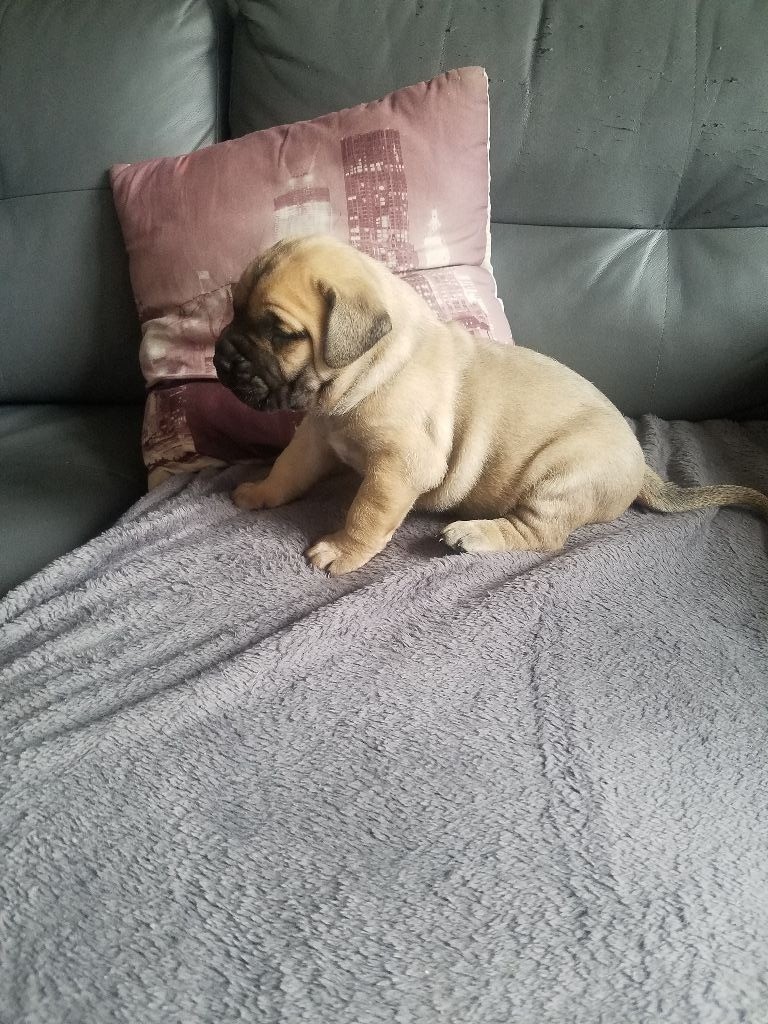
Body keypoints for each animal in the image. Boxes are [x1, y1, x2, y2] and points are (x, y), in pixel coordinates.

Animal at [213, 235, 768, 575]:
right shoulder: (314, 437)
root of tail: (640, 465)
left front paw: (341, 550)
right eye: (233, 311)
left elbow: (366, 512)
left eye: (279, 333)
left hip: (559, 478)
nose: (220, 356)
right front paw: (260, 491)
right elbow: (288, 470)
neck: (368, 373)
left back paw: (472, 535)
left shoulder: (399, 466)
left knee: (540, 535)